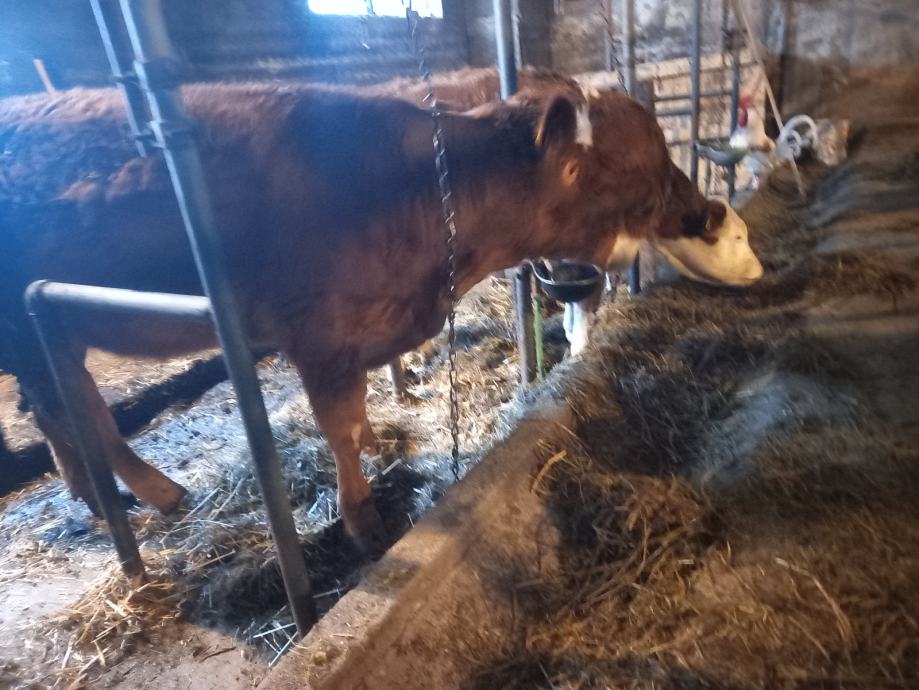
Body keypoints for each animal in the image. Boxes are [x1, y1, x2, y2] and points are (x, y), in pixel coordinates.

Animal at [0, 81, 757, 553]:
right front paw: (361, 519)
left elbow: (360, 412)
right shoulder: (320, 335)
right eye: (644, 171)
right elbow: (336, 426)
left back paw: (102, 496)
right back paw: (157, 492)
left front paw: (377, 444)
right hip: (31, 324)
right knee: (75, 410)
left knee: (60, 411)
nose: (701, 210)